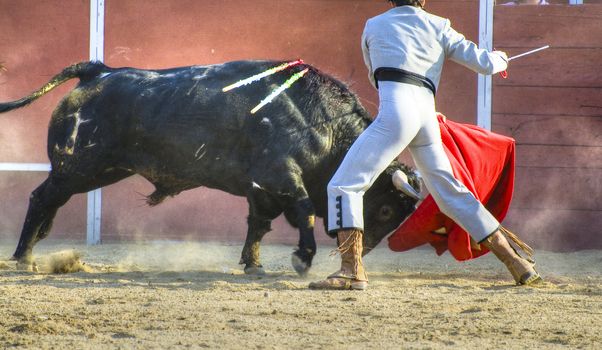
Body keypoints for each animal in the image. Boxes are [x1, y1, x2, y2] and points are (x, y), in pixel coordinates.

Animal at [0, 59, 418, 274]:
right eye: (384, 209)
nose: (364, 252)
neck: (319, 121)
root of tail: (98, 71)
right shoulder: (281, 176)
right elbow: (303, 212)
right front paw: (302, 258)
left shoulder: (261, 189)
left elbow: (258, 225)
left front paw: (253, 265)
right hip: (78, 168)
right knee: (41, 198)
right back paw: (23, 257)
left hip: (96, 171)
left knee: (51, 202)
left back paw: (35, 249)